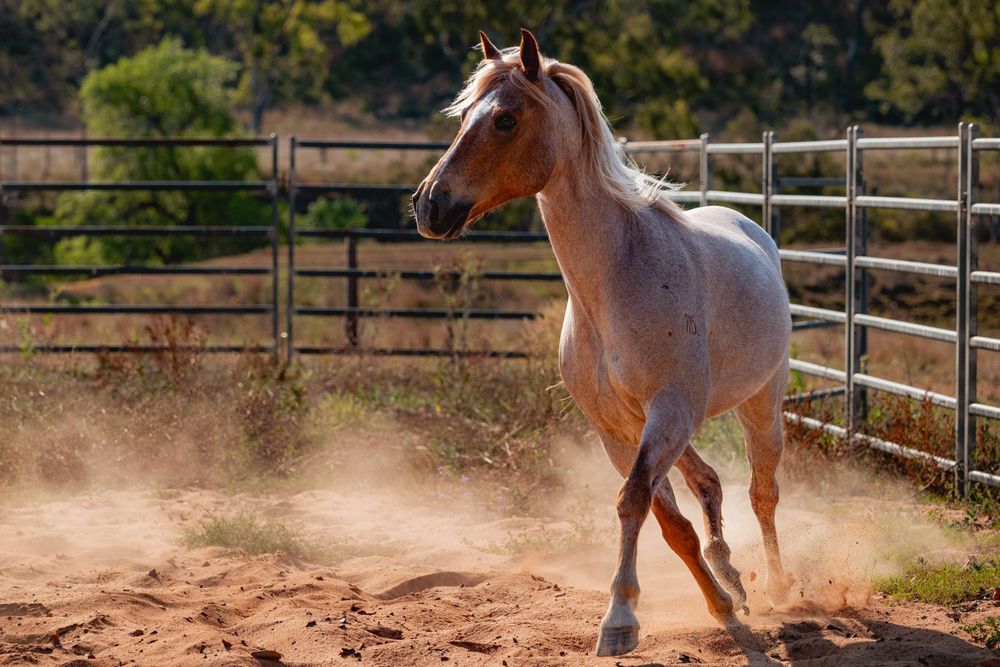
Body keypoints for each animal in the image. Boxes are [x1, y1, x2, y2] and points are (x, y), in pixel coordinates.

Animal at [412, 29, 791, 657]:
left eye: (506, 120)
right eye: (465, 115)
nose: (429, 205)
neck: (614, 281)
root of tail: (748, 226)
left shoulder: (667, 409)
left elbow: (633, 502)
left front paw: (619, 620)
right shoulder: (617, 429)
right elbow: (669, 524)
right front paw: (717, 603)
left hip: (760, 402)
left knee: (764, 491)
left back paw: (782, 588)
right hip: (668, 422)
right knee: (708, 481)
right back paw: (732, 575)